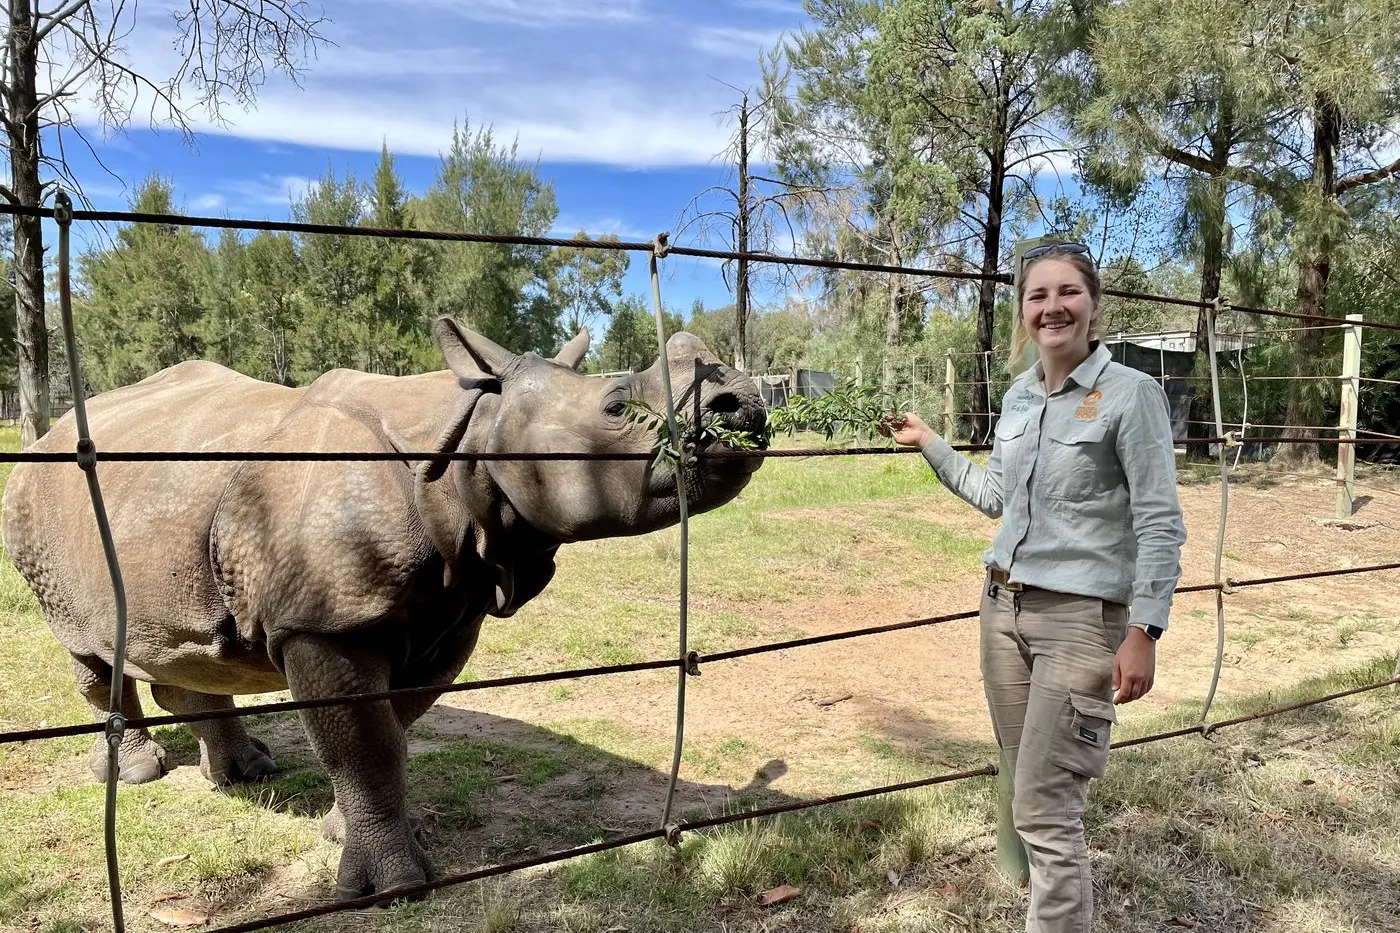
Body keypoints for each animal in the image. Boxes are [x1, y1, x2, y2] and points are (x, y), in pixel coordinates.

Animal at [1, 318, 766, 899]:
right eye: (615, 407)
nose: (744, 405)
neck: (473, 432)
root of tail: (50, 433)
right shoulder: (325, 622)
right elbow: (365, 741)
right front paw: (394, 886)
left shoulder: (451, 612)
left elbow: (389, 727)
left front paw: (343, 829)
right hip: (38, 497)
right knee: (87, 647)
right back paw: (137, 774)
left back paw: (246, 772)